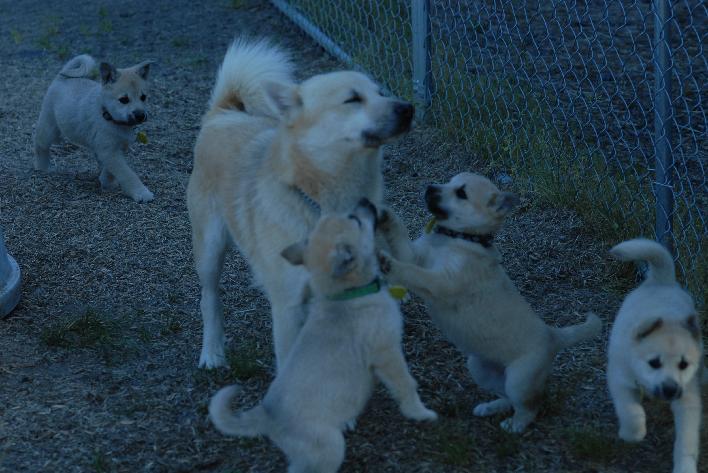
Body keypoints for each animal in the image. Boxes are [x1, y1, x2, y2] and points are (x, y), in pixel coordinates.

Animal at [34, 54, 155, 202]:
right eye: (124, 100)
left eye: (143, 97)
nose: (140, 115)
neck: (108, 115)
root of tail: (61, 78)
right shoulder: (109, 151)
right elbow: (127, 173)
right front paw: (141, 192)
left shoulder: (115, 148)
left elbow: (110, 170)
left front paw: (106, 181)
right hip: (48, 128)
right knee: (40, 145)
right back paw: (42, 166)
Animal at [207, 199, 434, 472]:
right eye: (355, 220)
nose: (365, 201)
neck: (348, 295)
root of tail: (267, 415)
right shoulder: (387, 352)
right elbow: (405, 385)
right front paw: (421, 413)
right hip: (328, 448)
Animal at [378, 172, 600, 432]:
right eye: (448, 181)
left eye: (461, 193)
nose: (429, 187)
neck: (458, 239)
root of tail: (553, 335)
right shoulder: (414, 254)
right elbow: (400, 235)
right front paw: (385, 214)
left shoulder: (442, 282)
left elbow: (414, 273)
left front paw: (389, 264)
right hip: (480, 368)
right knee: (506, 397)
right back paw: (489, 408)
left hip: (519, 379)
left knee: (530, 406)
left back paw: (515, 426)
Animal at [608, 240, 704, 472]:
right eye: (654, 363)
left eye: (684, 364)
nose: (669, 389)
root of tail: (661, 281)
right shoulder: (621, 380)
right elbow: (631, 411)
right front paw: (633, 433)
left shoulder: (687, 397)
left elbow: (686, 439)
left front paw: (684, 467)